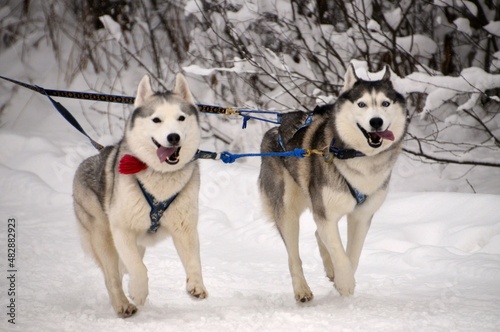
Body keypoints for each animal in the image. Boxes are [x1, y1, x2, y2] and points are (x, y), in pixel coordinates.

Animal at [73, 74, 207, 318]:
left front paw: (196, 285)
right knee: (112, 277)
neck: (160, 177)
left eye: (181, 118)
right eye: (156, 120)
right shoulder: (122, 230)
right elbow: (138, 268)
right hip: (103, 237)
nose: (173, 137)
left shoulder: (185, 228)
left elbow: (193, 260)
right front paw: (138, 291)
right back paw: (123, 304)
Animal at [260, 64, 408, 300]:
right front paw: (345, 282)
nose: (376, 121)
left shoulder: (362, 216)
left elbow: (352, 254)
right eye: (361, 103)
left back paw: (330, 270)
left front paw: (341, 279)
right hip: (287, 210)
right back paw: (302, 289)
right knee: (294, 256)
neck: (357, 156)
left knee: (318, 234)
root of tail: (276, 126)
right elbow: (339, 252)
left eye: (385, 103)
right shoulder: (327, 214)